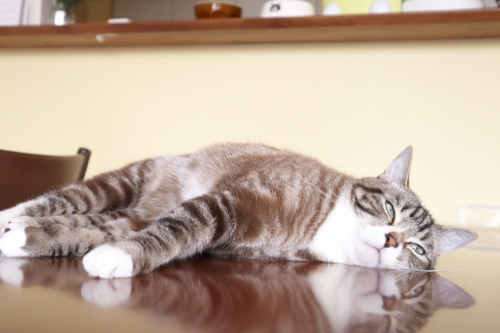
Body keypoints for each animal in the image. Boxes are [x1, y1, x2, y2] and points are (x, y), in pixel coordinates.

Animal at [0, 144, 476, 276]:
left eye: (417, 249)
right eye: (390, 209)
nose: (393, 239)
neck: (322, 228)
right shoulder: (225, 205)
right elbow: (178, 228)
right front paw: (124, 256)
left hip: (129, 214)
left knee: (90, 223)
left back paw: (21, 231)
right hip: (122, 182)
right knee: (63, 200)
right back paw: (9, 217)